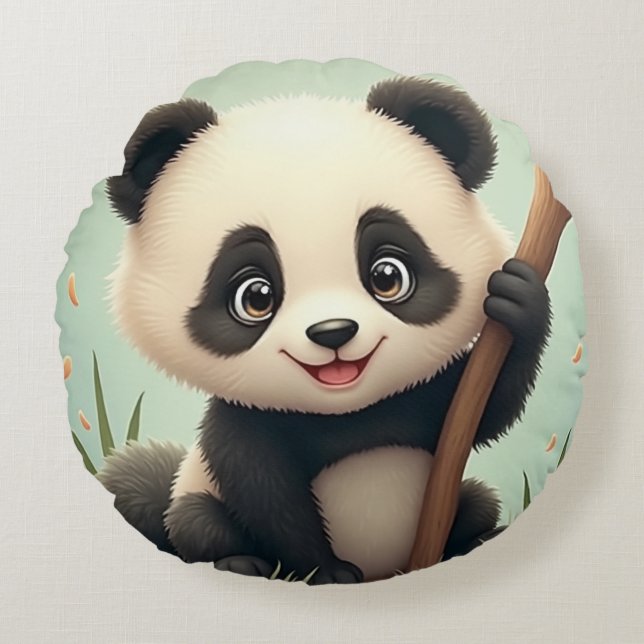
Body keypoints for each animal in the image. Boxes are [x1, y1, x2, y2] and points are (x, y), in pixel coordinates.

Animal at [98, 76, 551, 584]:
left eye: (387, 275)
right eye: (255, 297)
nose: (333, 332)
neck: (344, 413)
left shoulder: (420, 401)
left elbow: (487, 406)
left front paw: (517, 298)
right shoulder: (243, 423)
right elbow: (267, 497)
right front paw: (328, 572)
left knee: (479, 502)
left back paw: (474, 539)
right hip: (192, 496)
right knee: (197, 522)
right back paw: (240, 562)